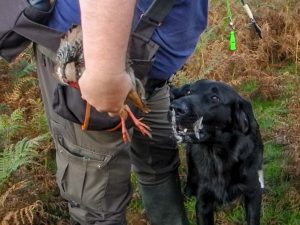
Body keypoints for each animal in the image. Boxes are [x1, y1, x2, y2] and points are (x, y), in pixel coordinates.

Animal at [170, 80, 264, 225]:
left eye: (214, 98)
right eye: (189, 92)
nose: (175, 107)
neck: (218, 155)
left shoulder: (253, 193)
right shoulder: (203, 203)